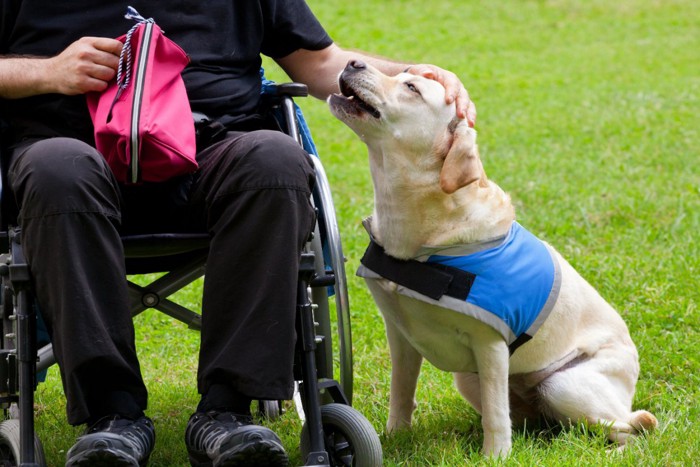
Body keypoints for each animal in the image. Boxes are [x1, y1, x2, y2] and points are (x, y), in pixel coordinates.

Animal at [328, 59, 656, 458]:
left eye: (411, 88)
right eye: (402, 74)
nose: (353, 61)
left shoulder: (490, 345)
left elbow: (497, 417)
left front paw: (494, 456)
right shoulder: (401, 335)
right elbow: (402, 392)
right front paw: (394, 437)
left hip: (562, 385)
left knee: (631, 428)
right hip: (471, 380)